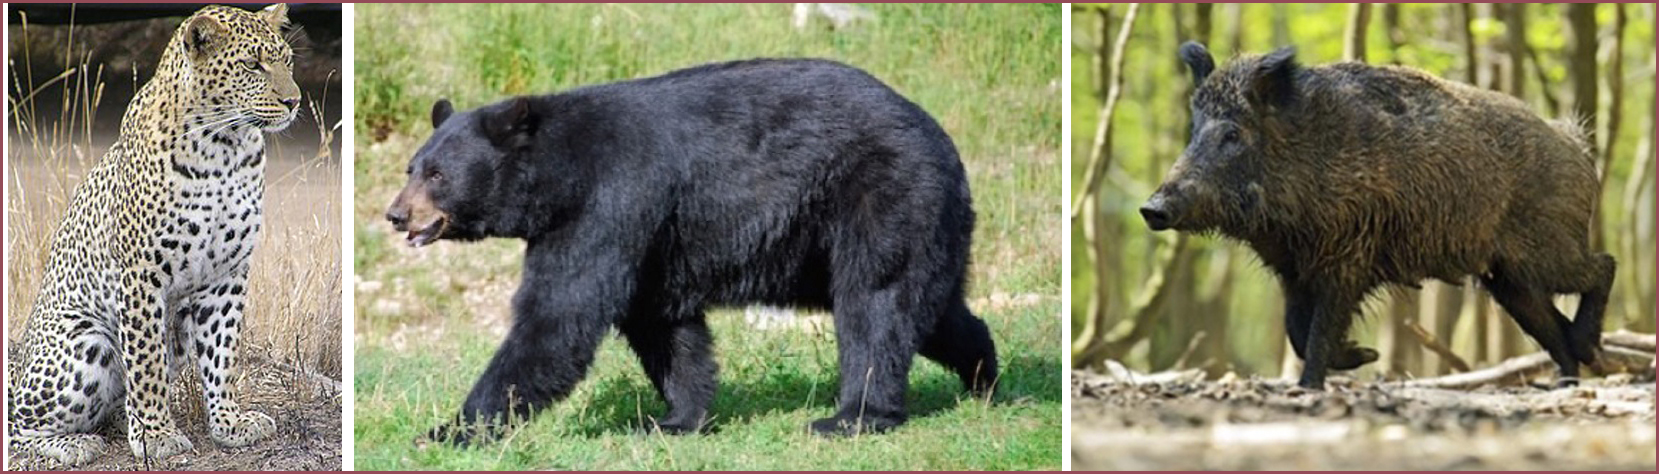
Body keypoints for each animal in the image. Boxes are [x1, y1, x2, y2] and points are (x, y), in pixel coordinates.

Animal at [385, 58, 998, 444]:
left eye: (437, 174)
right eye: (412, 167)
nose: (396, 215)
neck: (560, 178)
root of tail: (941, 139)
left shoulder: (610, 203)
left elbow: (558, 319)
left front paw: (448, 431)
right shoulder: (649, 239)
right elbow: (663, 326)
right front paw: (677, 418)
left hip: (882, 193)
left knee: (875, 301)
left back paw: (852, 417)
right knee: (929, 307)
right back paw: (984, 375)